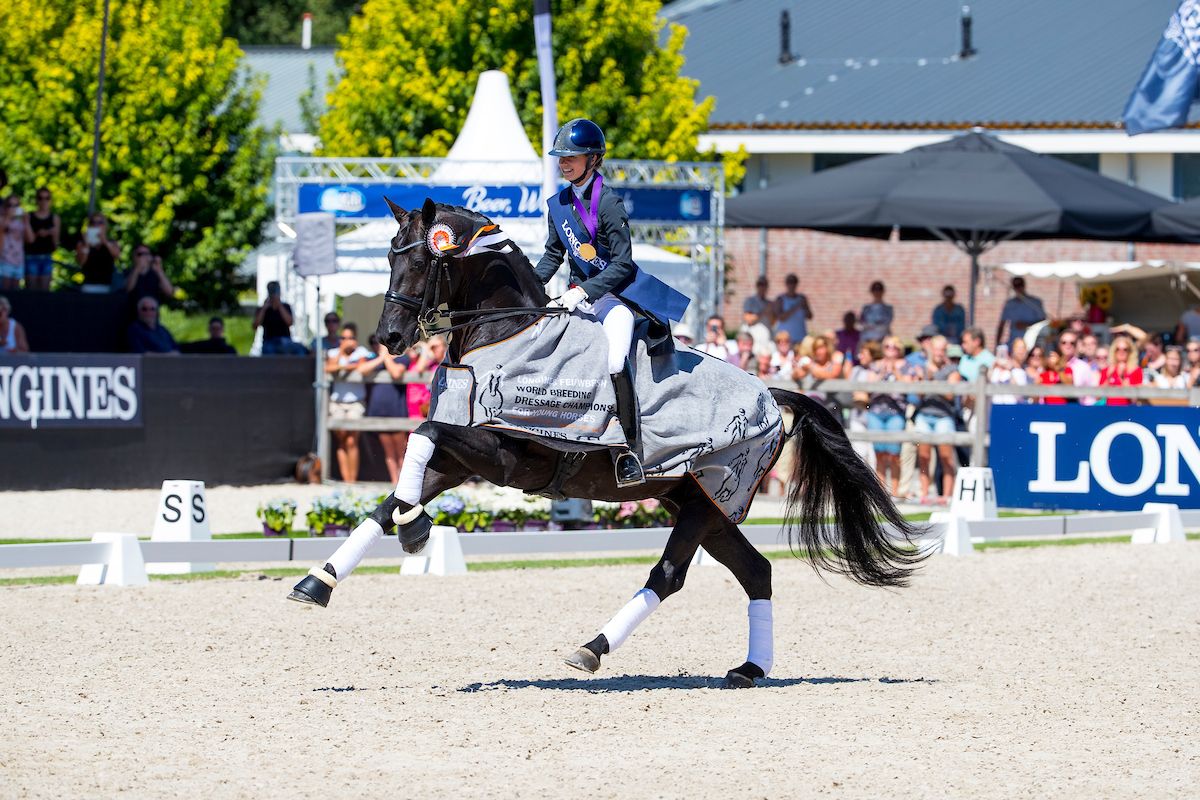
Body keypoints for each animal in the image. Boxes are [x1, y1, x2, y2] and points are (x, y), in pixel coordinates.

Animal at [288, 197, 926, 688]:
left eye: (423, 259)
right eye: (389, 257)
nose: (389, 338)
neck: (507, 333)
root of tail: (770, 393)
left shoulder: (506, 454)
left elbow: (422, 434)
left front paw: (415, 532)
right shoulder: (464, 456)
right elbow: (395, 491)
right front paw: (324, 578)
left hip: (706, 498)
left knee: (668, 577)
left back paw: (592, 649)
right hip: (703, 503)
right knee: (757, 573)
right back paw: (749, 669)